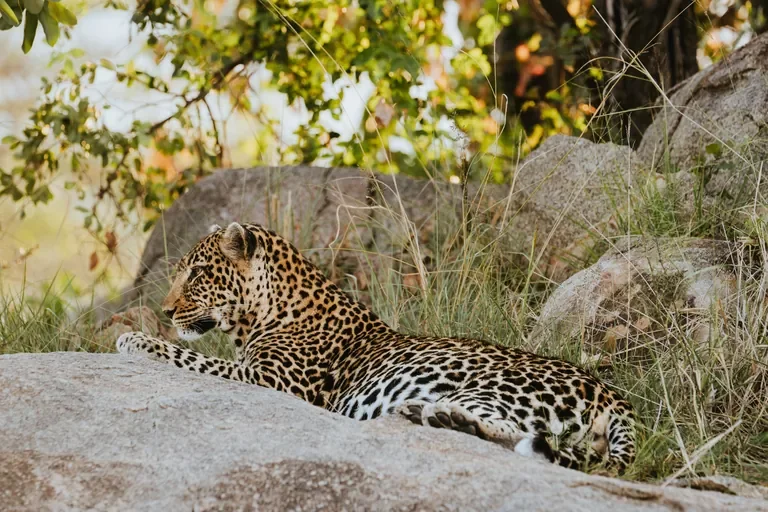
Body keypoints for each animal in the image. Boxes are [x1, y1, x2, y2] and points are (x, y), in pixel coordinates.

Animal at [117, 222, 637, 472]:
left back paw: (437, 417)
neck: (263, 314)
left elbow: (192, 357)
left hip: (490, 386)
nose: (165, 310)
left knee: (513, 434)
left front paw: (135, 338)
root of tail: (612, 393)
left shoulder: (271, 382)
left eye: (198, 274)